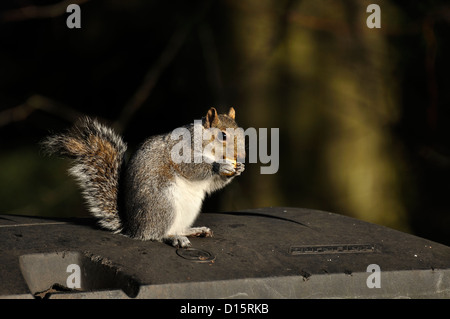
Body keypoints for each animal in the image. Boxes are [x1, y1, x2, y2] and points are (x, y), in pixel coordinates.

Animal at [41, 109, 244, 249]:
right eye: (223, 135)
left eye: (242, 133)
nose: (241, 156)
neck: (202, 140)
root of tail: (134, 228)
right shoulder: (181, 151)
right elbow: (191, 167)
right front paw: (220, 166)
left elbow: (211, 184)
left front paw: (238, 169)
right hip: (163, 204)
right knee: (156, 234)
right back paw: (173, 237)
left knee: (175, 228)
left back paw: (194, 230)